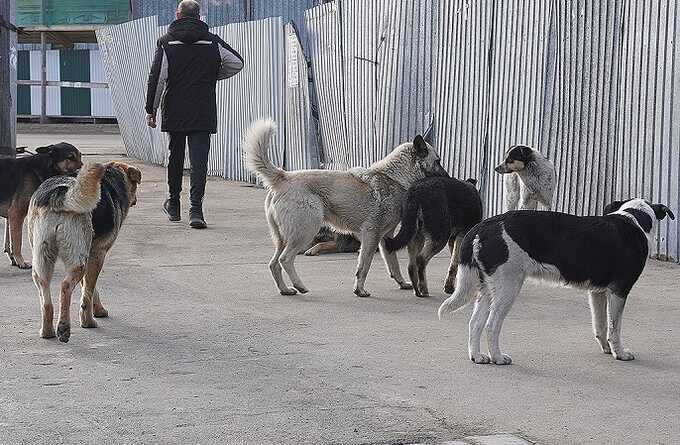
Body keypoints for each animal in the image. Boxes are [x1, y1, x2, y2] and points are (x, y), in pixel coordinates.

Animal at [27, 161, 141, 342]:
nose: (136, 199)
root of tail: (57, 194)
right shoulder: (97, 254)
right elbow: (88, 291)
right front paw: (88, 319)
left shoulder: (90, 255)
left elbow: (88, 288)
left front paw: (98, 309)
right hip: (77, 260)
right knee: (65, 287)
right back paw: (65, 327)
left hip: (42, 257)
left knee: (45, 296)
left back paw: (47, 331)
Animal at [246, 119, 452, 296]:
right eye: (438, 161)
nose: (450, 179)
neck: (394, 178)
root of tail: (283, 177)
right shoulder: (371, 235)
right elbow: (364, 266)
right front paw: (359, 290)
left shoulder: (386, 237)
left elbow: (393, 264)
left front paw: (402, 283)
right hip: (305, 232)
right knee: (285, 260)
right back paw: (299, 285)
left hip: (282, 238)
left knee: (273, 264)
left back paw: (285, 289)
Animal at [438, 198, 672, 364]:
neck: (635, 220)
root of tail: (483, 226)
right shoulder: (619, 290)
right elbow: (615, 328)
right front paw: (620, 353)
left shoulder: (597, 292)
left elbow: (601, 326)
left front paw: (606, 349)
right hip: (508, 286)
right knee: (491, 325)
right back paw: (498, 358)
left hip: (488, 288)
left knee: (475, 323)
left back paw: (477, 357)